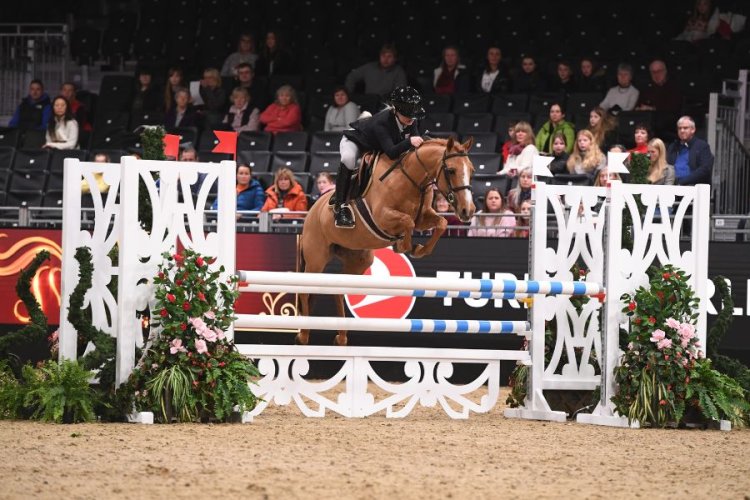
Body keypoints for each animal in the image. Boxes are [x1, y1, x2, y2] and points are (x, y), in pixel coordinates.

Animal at [297, 136, 476, 345]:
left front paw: (418, 249)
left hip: (359, 260)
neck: (411, 179)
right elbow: (407, 221)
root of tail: (310, 213)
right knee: (305, 290)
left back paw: (341, 337)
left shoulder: (423, 217)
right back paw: (303, 335)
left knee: (339, 291)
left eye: (472, 170)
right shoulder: (383, 217)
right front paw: (404, 245)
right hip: (316, 260)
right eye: (451, 170)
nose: (468, 211)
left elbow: (441, 223)